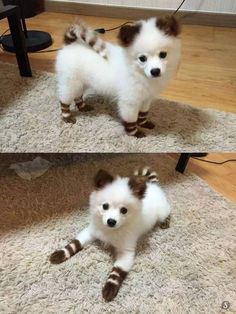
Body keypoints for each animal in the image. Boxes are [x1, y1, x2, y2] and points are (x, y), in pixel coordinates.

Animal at [50, 168, 171, 300]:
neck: (110, 231)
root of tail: (153, 185)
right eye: (105, 206)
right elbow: (75, 243)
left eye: (124, 210)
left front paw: (110, 287)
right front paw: (61, 253)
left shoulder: (126, 251)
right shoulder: (91, 231)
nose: (111, 221)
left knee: (167, 212)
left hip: (162, 211)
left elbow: (118, 270)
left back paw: (165, 222)